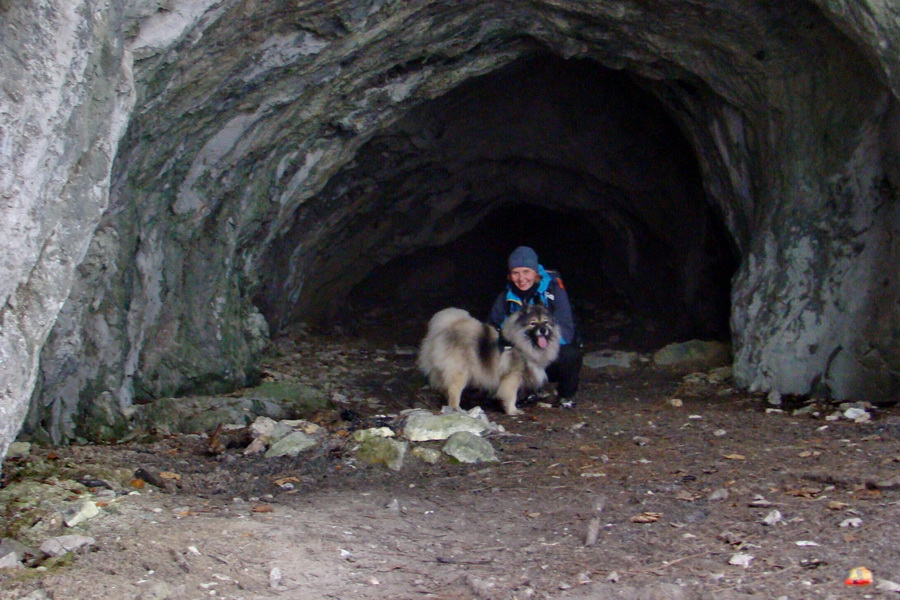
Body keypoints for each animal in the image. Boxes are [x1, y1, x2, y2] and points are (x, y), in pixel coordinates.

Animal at [418, 302, 560, 414]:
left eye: (546, 322)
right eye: (533, 323)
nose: (543, 330)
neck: (519, 343)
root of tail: (442, 330)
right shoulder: (512, 376)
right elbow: (511, 395)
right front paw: (512, 410)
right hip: (460, 371)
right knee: (454, 390)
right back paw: (456, 408)